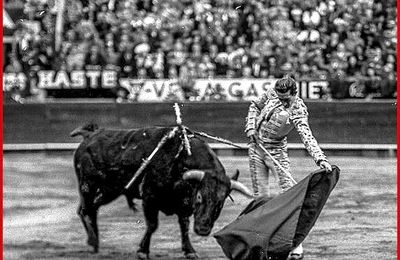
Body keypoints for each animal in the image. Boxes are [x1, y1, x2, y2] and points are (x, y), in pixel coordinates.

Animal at [70, 124, 252, 258]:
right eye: (200, 196)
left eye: (221, 203)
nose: (203, 230)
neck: (179, 159)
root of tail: (90, 135)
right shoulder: (149, 199)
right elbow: (152, 225)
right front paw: (142, 252)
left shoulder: (184, 204)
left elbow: (184, 226)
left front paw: (190, 251)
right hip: (88, 186)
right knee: (85, 210)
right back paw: (93, 241)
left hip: (109, 190)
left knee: (90, 210)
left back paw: (95, 243)